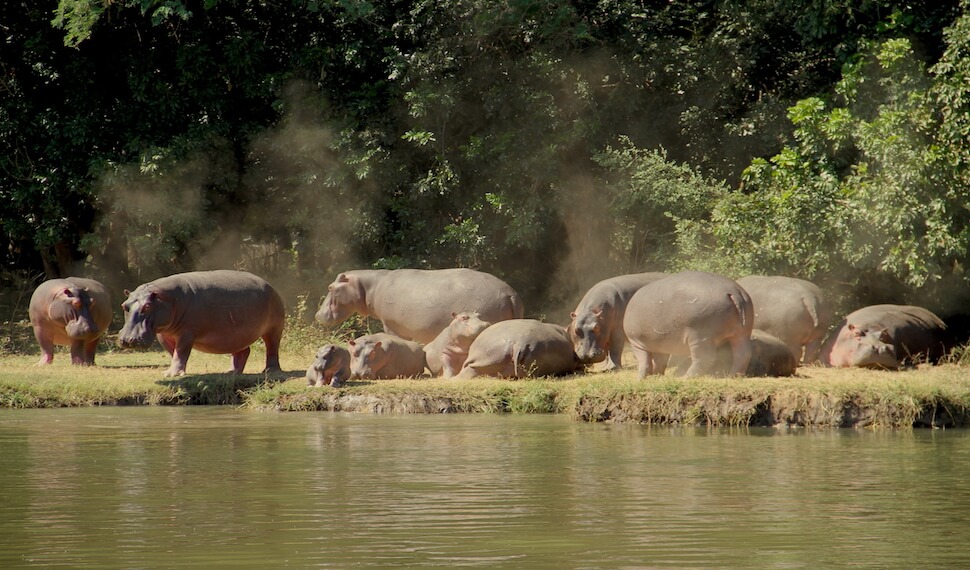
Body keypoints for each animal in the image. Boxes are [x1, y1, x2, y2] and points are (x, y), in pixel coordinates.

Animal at [118, 270, 285, 377]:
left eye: (147, 306)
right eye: (124, 305)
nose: (127, 339)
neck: (167, 298)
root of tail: (270, 285)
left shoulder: (186, 333)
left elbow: (181, 351)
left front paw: (170, 374)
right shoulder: (164, 335)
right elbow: (174, 352)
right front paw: (177, 372)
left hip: (274, 327)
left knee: (272, 347)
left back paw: (270, 371)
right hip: (235, 336)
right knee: (243, 351)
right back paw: (231, 372)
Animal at [622, 271, 754, 378]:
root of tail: (734, 292)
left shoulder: (637, 343)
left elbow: (644, 361)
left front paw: (640, 379)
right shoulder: (661, 345)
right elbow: (660, 361)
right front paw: (657, 376)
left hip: (699, 336)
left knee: (705, 358)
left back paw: (685, 377)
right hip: (742, 334)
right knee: (743, 354)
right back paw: (733, 376)